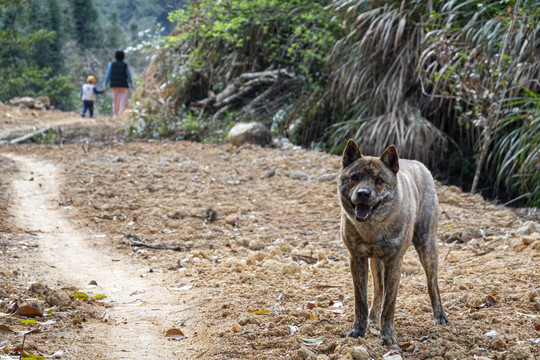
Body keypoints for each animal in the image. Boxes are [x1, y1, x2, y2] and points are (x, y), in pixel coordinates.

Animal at [338, 139, 448, 344]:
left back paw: (440, 316)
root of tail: (418, 164)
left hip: (427, 247)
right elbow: (361, 300)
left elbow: (390, 303)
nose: (363, 193)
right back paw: (373, 317)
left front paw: (388, 336)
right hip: (375, 262)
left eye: (380, 181)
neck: (372, 227)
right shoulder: (357, 259)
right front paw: (358, 330)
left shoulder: (394, 262)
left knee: (433, 284)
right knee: (378, 290)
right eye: (354, 177)